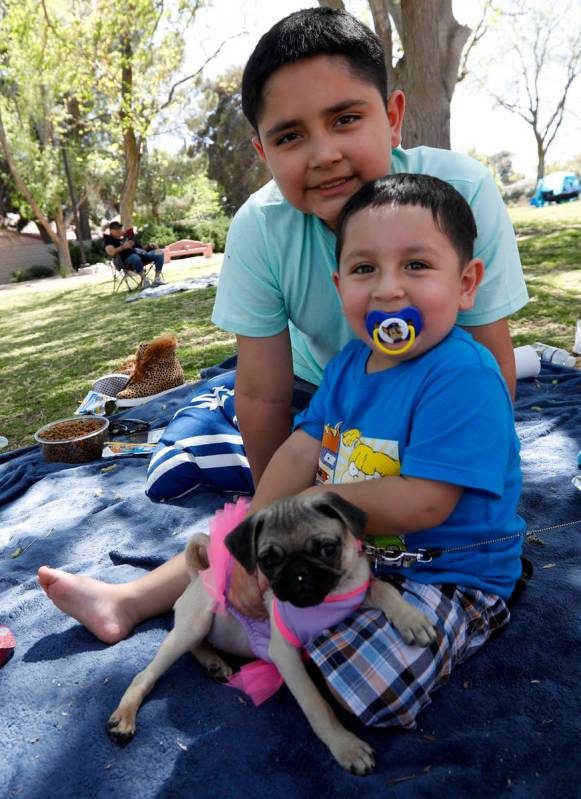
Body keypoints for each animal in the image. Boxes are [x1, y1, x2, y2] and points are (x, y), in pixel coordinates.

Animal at [107, 494, 436, 776]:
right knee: (147, 673)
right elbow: (317, 706)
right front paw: (346, 747)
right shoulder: (286, 655)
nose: (299, 572)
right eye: (268, 561)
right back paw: (125, 715)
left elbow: (384, 588)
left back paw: (214, 663)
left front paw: (411, 619)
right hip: (193, 625)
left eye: (328, 549)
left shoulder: (358, 594)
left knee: (197, 647)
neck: (325, 601)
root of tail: (198, 576)